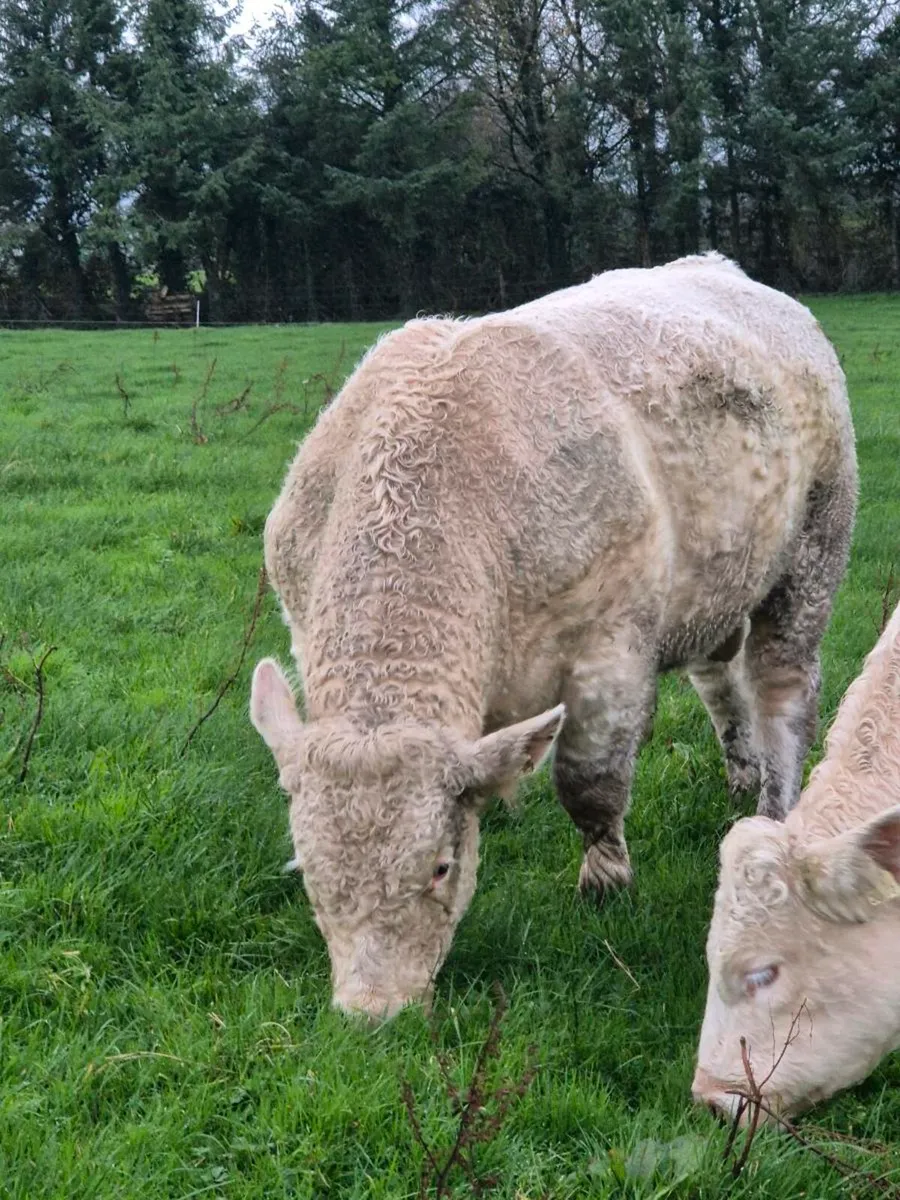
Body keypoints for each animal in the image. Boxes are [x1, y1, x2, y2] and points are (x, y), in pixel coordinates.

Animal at [250, 253, 857, 1021]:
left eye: (440, 867)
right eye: (307, 870)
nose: (372, 1012)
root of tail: (721, 268)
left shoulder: (612, 645)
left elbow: (590, 781)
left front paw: (605, 884)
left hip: (814, 545)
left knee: (782, 690)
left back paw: (771, 805)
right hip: (718, 581)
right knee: (721, 681)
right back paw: (740, 769)